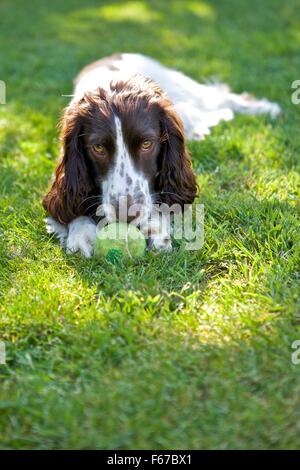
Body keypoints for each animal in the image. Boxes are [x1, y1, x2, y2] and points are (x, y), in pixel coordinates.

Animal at [43, 52, 280, 255]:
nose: (126, 215)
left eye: (147, 143)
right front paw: (81, 234)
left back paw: (266, 108)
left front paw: (155, 227)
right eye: (98, 148)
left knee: (220, 97)